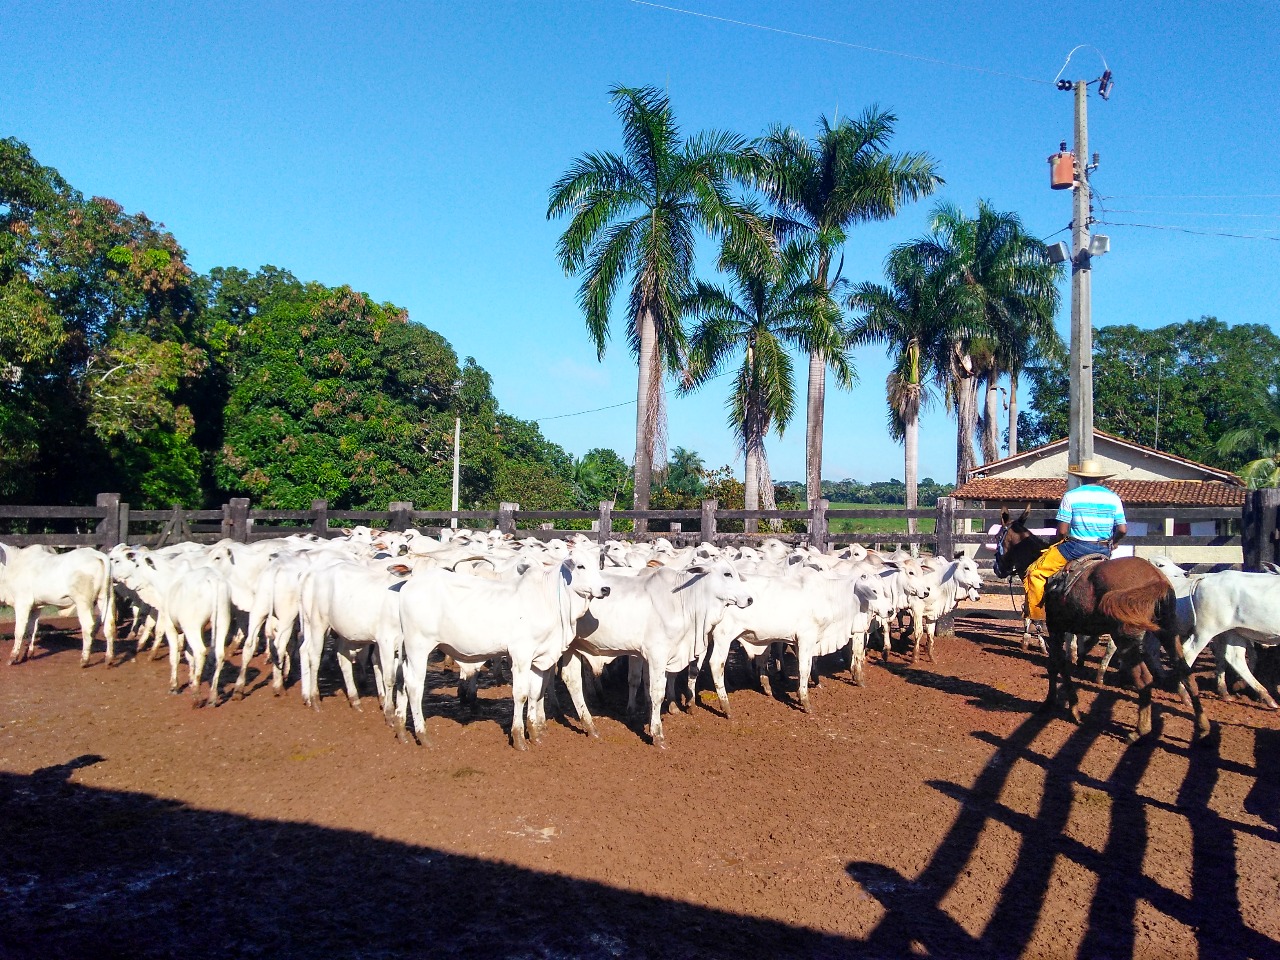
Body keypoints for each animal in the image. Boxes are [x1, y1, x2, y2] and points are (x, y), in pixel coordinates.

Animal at [1039, 555, 1208, 742]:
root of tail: (1156, 578)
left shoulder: (1055, 628)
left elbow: (1059, 666)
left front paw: (1070, 709)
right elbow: (1055, 665)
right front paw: (1052, 701)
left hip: (1126, 640)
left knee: (1144, 679)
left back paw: (1140, 730)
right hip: (1168, 631)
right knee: (1186, 672)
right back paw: (1203, 727)